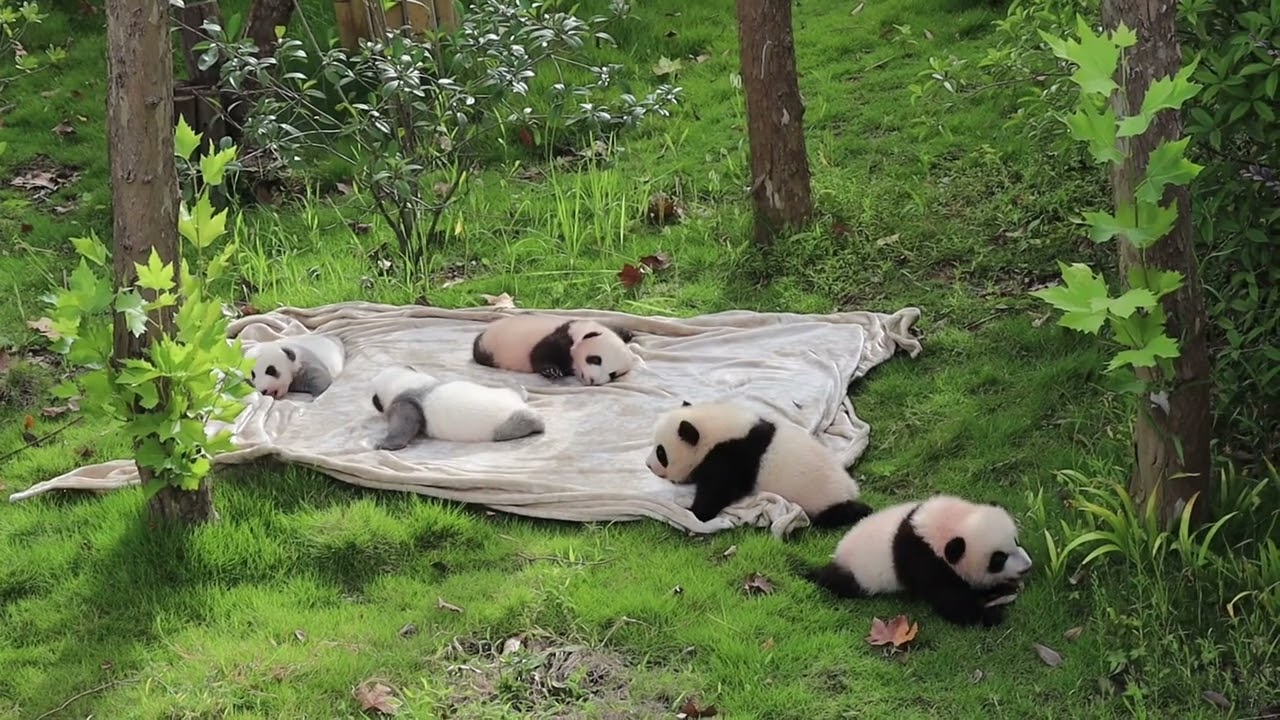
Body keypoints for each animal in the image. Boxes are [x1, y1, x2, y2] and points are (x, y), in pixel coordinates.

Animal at [369, 366, 546, 449]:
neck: (404, 382)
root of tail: (520, 406)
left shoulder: (405, 404)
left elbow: (403, 425)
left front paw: (385, 444)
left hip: (506, 425)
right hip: (506, 394)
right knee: (512, 391)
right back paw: (519, 387)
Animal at [471, 315, 638, 386]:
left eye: (613, 374)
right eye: (596, 359)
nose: (592, 380)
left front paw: (627, 333)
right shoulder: (561, 336)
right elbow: (540, 354)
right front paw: (551, 371)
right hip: (490, 347)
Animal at [644, 400, 873, 528]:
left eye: (661, 452)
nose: (648, 465)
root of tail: (851, 489)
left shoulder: (730, 458)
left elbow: (716, 493)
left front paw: (692, 508)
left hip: (822, 499)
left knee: (838, 514)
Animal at [802, 494, 1034, 627]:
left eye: (1015, 541)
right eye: (998, 559)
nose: (1027, 567)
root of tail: (840, 549)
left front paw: (1003, 589)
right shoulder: (924, 559)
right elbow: (949, 599)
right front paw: (990, 615)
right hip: (858, 572)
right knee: (839, 582)